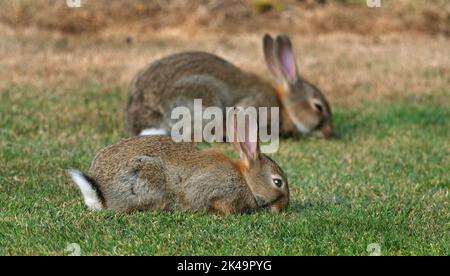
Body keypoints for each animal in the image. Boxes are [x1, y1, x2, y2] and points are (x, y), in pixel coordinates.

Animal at [68, 111, 290, 215]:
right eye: (277, 182)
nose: (283, 207)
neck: (246, 181)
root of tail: (100, 195)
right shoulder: (215, 188)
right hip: (146, 177)